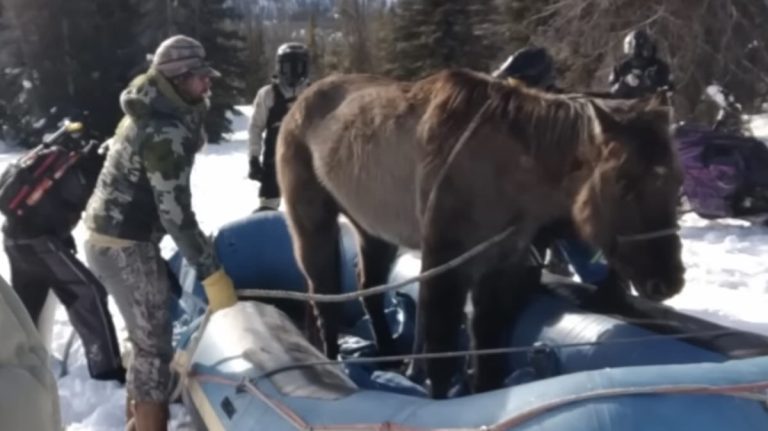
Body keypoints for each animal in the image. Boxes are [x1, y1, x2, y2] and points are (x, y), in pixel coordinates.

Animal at [275, 68, 685, 399]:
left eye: (677, 183)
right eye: (623, 182)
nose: (667, 281)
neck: (512, 179)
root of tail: (298, 107)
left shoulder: (501, 265)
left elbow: (487, 355)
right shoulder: (444, 260)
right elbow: (440, 355)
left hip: (373, 230)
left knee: (368, 289)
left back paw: (388, 355)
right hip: (312, 221)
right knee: (324, 295)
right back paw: (332, 363)